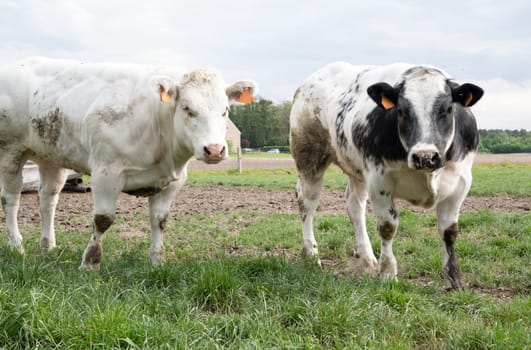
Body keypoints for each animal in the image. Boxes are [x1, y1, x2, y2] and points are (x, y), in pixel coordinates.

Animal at [0, 57, 258, 270]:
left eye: (225, 110)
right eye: (187, 108)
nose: (214, 150)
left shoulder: (173, 181)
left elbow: (160, 220)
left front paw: (157, 261)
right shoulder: (106, 172)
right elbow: (103, 219)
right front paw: (90, 262)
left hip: (51, 156)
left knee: (47, 200)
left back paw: (48, 246)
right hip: (10, 151)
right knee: (11, 199)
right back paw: (16, 246)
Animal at [288, 61, 484, 288]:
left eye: (448, 109)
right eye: (402, 111)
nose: (425, 156)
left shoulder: (460, 184)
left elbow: (449, 232)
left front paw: (454, 280)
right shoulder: (379, 182)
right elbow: (388, 227)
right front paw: (388, 273)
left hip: (356, 169)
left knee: (354, 207)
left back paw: (368, 259)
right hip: (309, 158)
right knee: (307, 204)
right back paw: (311, 254)